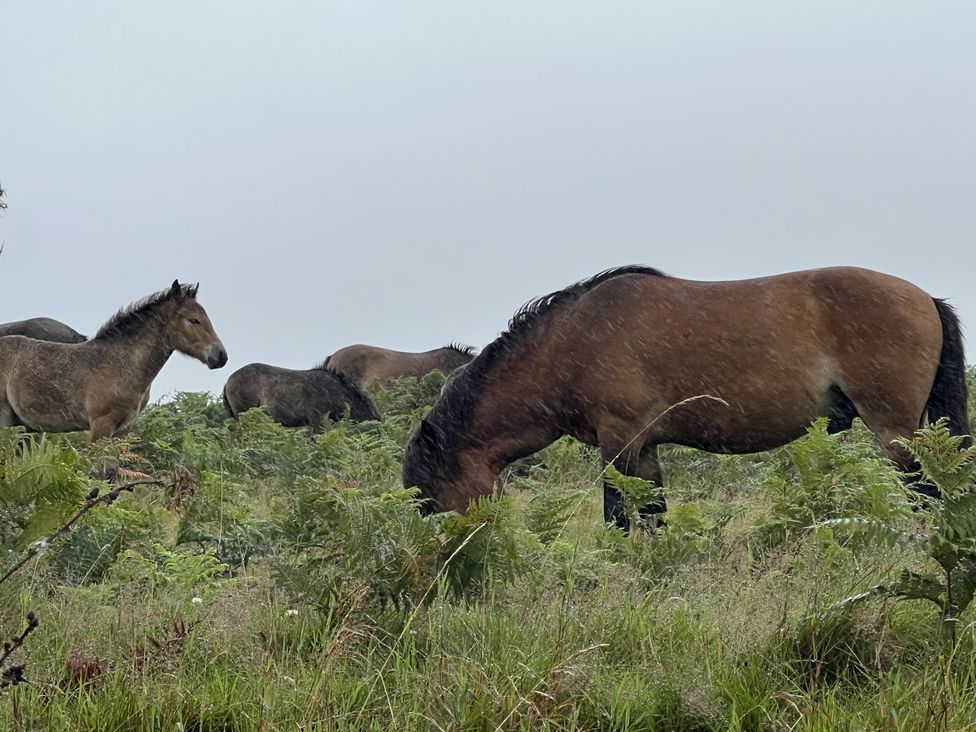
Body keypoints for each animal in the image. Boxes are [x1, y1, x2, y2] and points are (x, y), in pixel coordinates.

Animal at [402, 266, 971, 531]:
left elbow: (619, 517)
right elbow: (653, 515)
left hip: (895, 429)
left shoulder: (619, 441)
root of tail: (925, 298)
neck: (571, 342)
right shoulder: (645, 446)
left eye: (430, 498)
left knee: (925, 492)